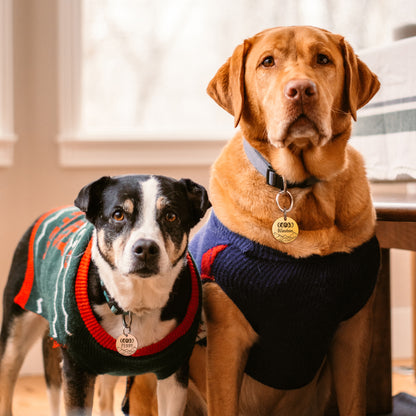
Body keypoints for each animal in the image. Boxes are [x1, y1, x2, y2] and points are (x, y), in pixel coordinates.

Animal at [0, 175, 208, 416]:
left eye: (171, 216)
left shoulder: (174, 375)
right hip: (15, 333)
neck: (133, 305)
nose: (146, 248)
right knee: (7, 380)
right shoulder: (76, 370)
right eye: (118, 215)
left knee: (104, 397)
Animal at [126, 26, 380, 416]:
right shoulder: (226, 338)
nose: (301, 89)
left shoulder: (353, 331)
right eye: (267, 62)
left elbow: (354, 403)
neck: (298, 190)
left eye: (323, 59)